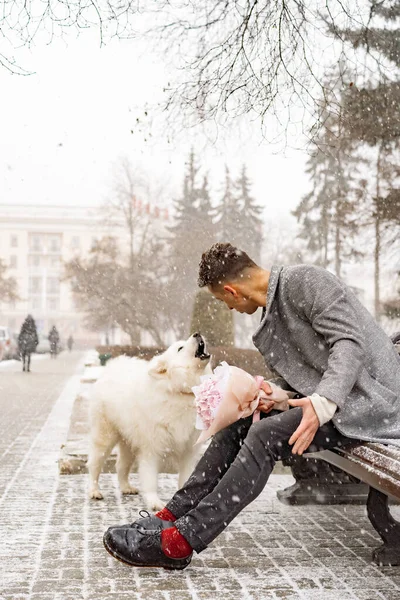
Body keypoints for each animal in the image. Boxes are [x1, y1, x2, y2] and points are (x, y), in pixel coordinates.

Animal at [88, 332, 212, 510]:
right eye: (180, 348)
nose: (197, 333)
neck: (180, 391)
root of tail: (111, 367)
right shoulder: (151, 449)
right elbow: (150, 479)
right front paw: (154, 502)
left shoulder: (189, 449)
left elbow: (186, 477)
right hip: (105, 437)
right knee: (94, 464)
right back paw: (94, 491)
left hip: (128, 442)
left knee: (121, 466)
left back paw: (126, 487)